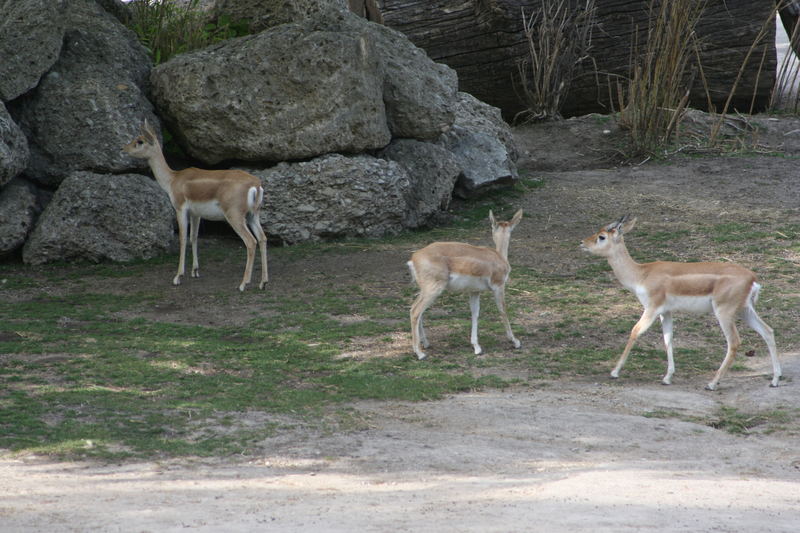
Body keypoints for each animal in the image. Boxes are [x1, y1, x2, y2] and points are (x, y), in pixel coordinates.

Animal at [406, 208, 524, 358]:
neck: (499, 256)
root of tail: (414, 257)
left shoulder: (474, 291)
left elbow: (475, 313)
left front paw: (476, 347)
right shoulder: (499, 286)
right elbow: (502, 310)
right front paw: (515, 341)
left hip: (425, 290)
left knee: (418, 310)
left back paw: (426, 344)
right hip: (433, 289)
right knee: (415, 311)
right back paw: (420, 353)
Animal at [580, 215, 780, 390]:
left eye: (602, 236)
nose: (582, 243)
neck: (642, 274)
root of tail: (753, 278)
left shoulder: (651, 308)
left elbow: (635, 331)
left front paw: (614, 372)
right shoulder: (665, 311)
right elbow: (668, 339)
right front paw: (667, 378)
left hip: (724, 312)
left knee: (735, 342)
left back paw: (712, 384)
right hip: (745, 310)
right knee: (768, 331)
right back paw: (775, 380)